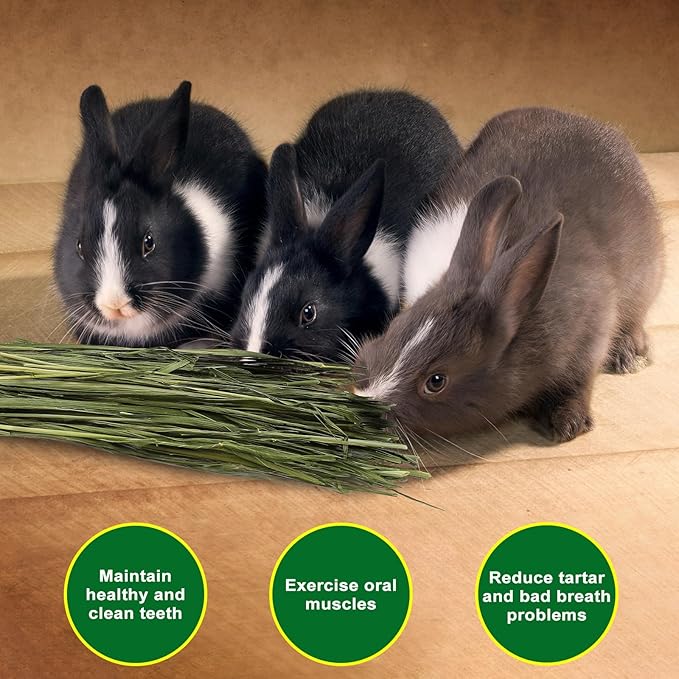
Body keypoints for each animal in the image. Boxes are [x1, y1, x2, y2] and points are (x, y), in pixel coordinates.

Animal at [354, 107, 664, 443]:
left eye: (436, 381)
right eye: (394, 328)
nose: (370, 401)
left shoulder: (591, 336)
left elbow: (578, 382)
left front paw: (566, 424)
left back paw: (630, 356)